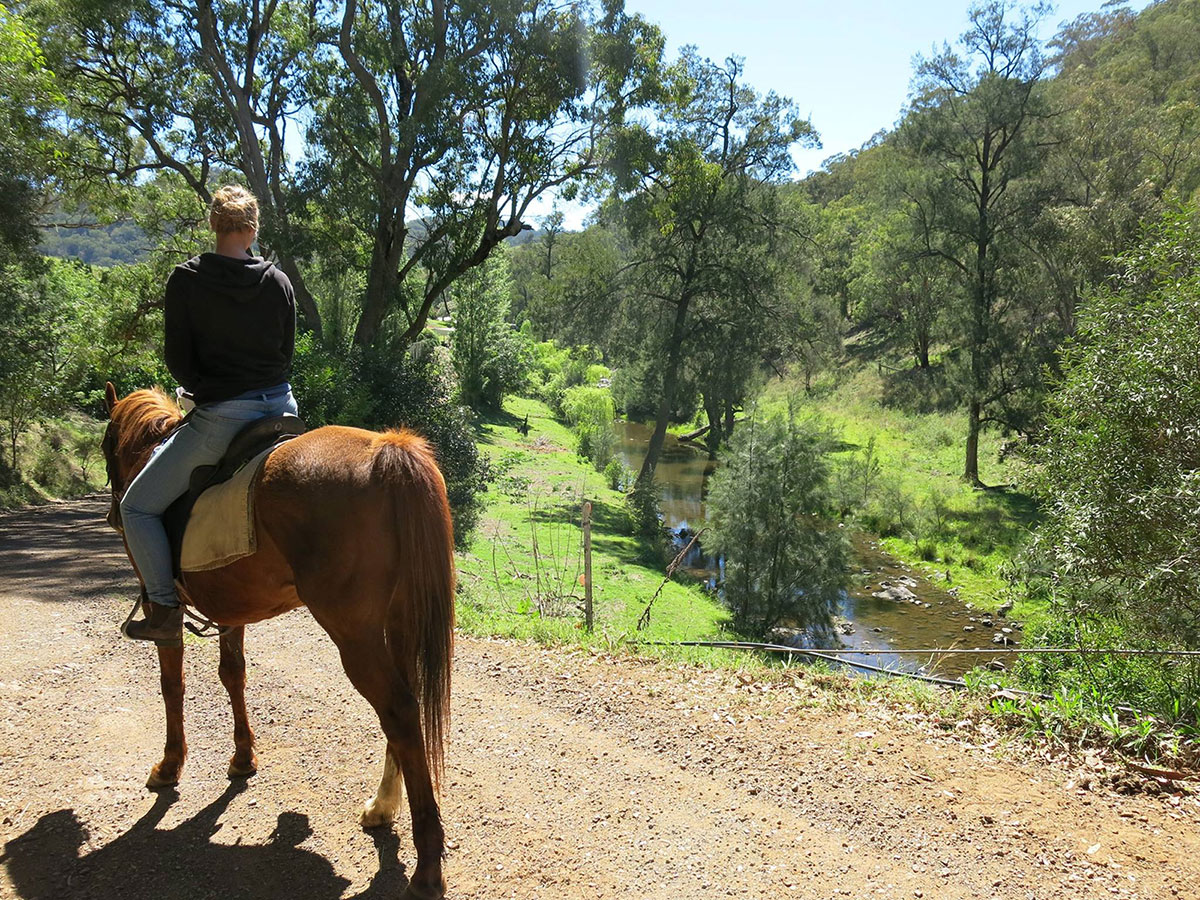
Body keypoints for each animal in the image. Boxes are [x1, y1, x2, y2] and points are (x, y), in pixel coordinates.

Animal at [97, 381, 453, 900]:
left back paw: (426, 870)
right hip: (399, 621)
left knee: (400, 712)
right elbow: (233, 675)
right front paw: (243, 757)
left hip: (356, 635)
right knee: (404, 712)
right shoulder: (232, 609)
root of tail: (388, 449)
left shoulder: (161, 602)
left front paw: (169, 765)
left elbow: (172, 684)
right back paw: (382, 807)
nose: (111, 514)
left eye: (107, 447)